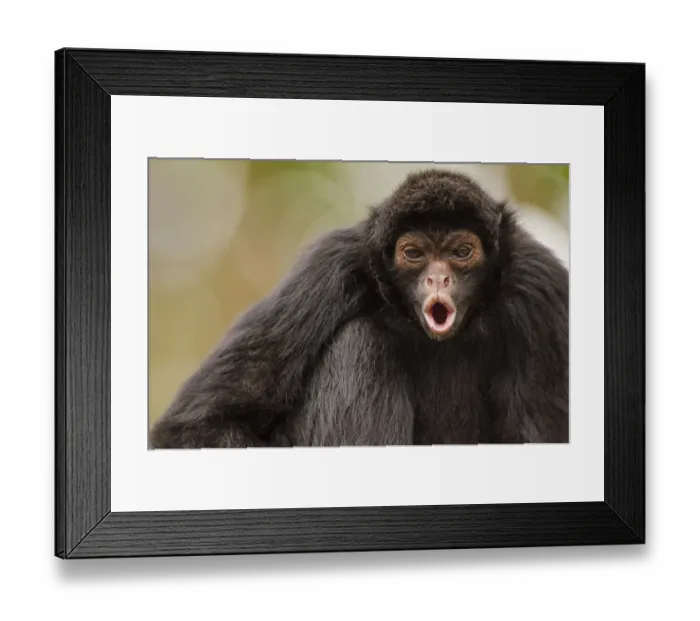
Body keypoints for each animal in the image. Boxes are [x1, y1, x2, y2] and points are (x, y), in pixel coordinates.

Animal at [148, 169, 569, 449]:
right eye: (414, 254)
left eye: (461, 252)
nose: (438, 279)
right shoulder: (331, 264)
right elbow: (193, 427)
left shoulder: (541, 286)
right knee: (361, 341)